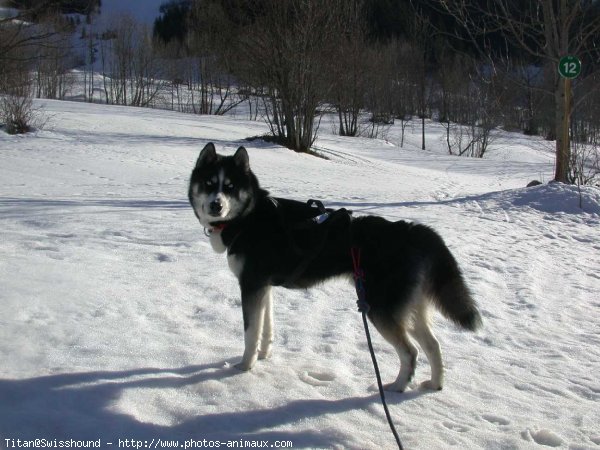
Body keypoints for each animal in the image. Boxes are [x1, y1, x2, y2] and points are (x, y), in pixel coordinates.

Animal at [190, 143, 480, 390]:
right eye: (208, 184)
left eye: (230, 187)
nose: (216, 205)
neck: (249, 217)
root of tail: (414, 231)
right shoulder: (262, 287)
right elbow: (266, 327)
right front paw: (263, 355)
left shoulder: (251, 285)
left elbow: (250, 332)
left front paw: (244, 367)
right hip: (410, 308)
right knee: (433, 345)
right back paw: (434, 384)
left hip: (380, 309)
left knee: (411, 352)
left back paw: (397, 386)